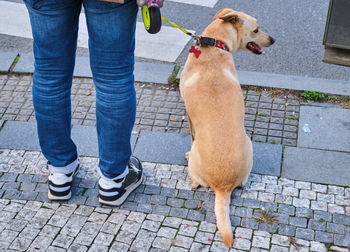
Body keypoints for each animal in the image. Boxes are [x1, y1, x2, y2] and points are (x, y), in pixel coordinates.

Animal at [179, 8, 274, 248]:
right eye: (257, 30)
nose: (273, 40)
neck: (215, 44)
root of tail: (223, 188)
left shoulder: (189, 114)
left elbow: (191, 135)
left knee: (195, 180)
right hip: (249, 144)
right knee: (243, 182)